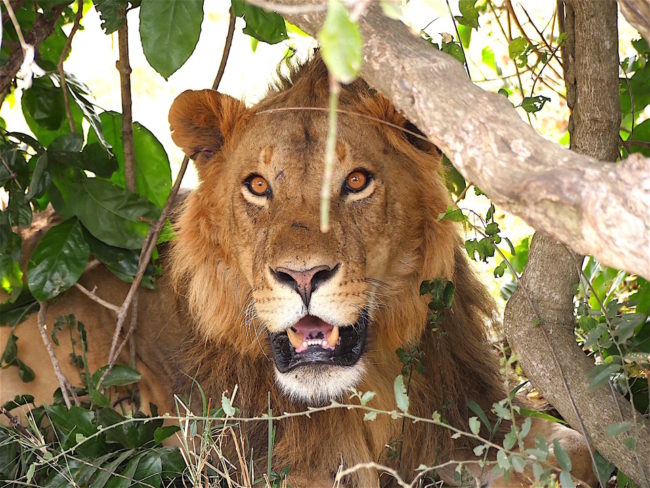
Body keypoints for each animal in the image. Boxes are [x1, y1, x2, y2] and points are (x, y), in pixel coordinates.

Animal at [1, 56, 596, 484]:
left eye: (356, 181)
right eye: (258, 186)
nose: (304, 277)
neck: (365, 389)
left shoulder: (470, 425)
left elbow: (578, 448)